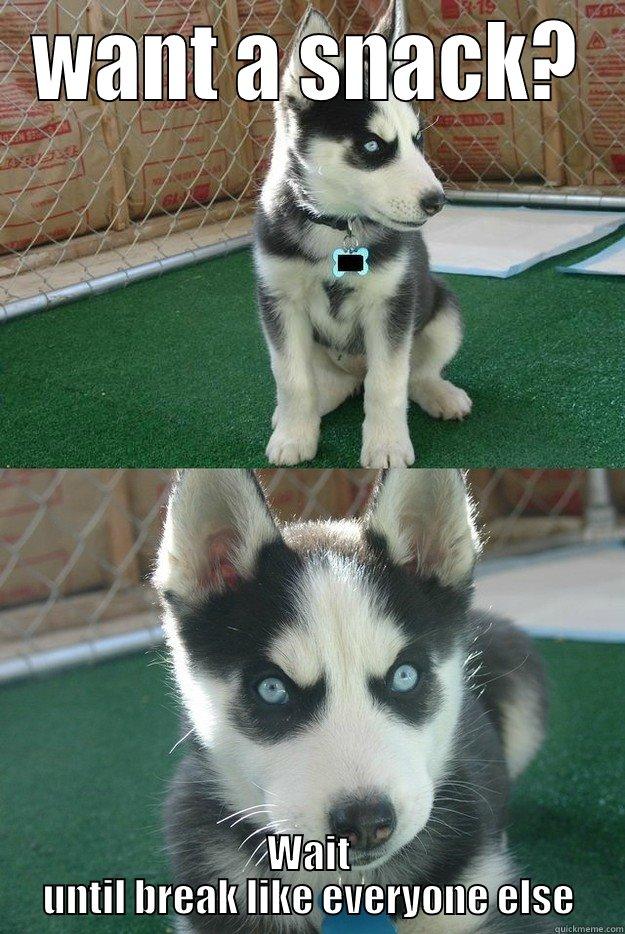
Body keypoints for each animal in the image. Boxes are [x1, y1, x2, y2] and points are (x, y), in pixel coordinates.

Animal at [256, 0, 470, 468]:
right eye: (372, 146)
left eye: (417, 140)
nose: (437, 201)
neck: (337, 226)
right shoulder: (280, 302)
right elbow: (292, 378)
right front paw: (294, 435)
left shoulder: (391, 305)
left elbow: (387, 383)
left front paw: (386, 445)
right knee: (327, 384)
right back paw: (298, 412)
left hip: (443, 311)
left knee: (414, 374)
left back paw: (440, 393)